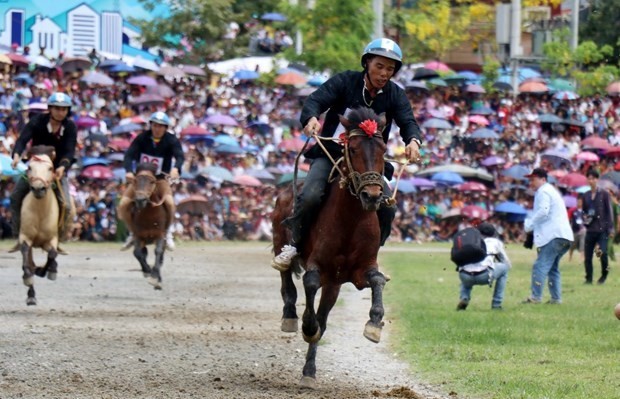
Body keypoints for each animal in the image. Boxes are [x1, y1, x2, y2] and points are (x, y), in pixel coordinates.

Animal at [17, 145, 65, 304]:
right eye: (29, 167)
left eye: (50, 168)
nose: (38, 188)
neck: (40, 211)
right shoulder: (25, 237)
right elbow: (25, 255)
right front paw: (28, 277)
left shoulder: (51, 239)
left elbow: (52, 254)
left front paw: (49, 271)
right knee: (29, 260)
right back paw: (31, 295)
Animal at [119, 162, 173, 290]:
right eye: (135, 181)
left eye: (152, 181)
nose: (140, 200)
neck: (149, 215)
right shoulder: (139, 236)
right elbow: (137, 253)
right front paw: (147, 270)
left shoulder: (160, 234)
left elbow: (158, 251)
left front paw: (155, 278)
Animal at [272, 106, 388, 388]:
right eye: (353, 149)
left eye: (383, 149)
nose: (371, 195)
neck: (351, 220)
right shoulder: (318, 265)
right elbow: (310, 284)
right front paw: (307, 325)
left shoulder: (358, 271)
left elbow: (377, 280)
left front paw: (374, 323)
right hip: (280, 239)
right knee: (286, 279)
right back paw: (290, 316)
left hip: (334, 285)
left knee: (323, 316)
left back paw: (309, 371)